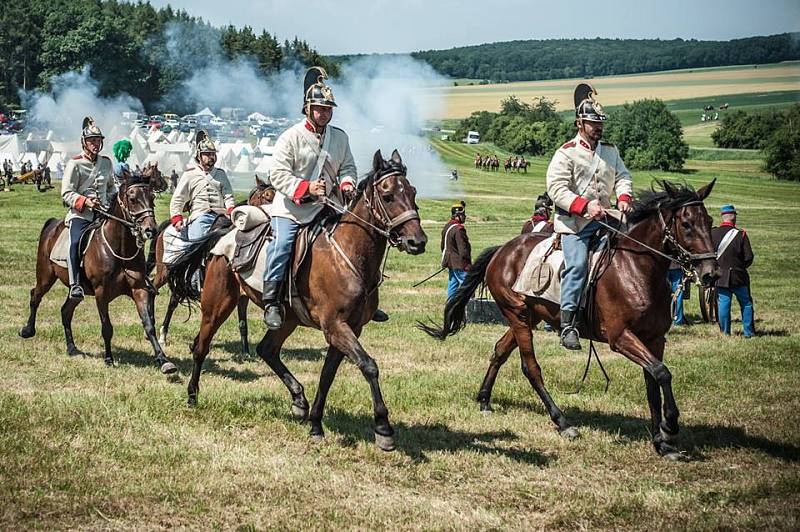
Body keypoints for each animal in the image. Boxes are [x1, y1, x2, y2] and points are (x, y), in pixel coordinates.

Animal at [19, 164, 177, 372]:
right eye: (132, 199)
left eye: (152, 198)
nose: (150, 230)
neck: (119, 248)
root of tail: (52, 225)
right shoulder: (101, 293)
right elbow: (106, 327)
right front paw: (109, 358)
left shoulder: (139, 289)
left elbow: (148, 324)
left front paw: (163, 360)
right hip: (45, 276)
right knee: (35, 296)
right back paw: (28, 330)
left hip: (75, 290)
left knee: (65, 311)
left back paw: (72, 348)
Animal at [147, 176, 276, 358]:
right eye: (267, 196)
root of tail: (166, 227)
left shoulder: (242, 296)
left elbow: (243, 322)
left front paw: (245, 352)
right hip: (164, 272)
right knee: (153, 290)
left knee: (173, 300)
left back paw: (163, 333)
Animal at [173, 149, 428, 448]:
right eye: (387, 196)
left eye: (412, 192)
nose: (417, 242)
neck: (347, 255)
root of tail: (225, 232)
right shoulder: (336, 327)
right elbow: (369, 366)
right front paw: (383, 427)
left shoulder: (348, 329)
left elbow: (327, 375)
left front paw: (316, 424)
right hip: (217, 306)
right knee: (201, 347)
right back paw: (192, 395)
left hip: (287, 319)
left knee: (267, 350)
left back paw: (298, 400)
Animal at [418, 181, 720, 460]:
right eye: (686, 223)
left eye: (709, 221)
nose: (711, 273)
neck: (637, 268)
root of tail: (504, 250)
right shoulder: (621, 337)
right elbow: (662, 373)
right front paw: (670, 426)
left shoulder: (655, 340)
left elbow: (654, 383)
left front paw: (662, 443)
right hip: (518, 316)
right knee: (531, 368)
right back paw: (562, 421)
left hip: (527, 318)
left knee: (499, 351)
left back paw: (484, 399)